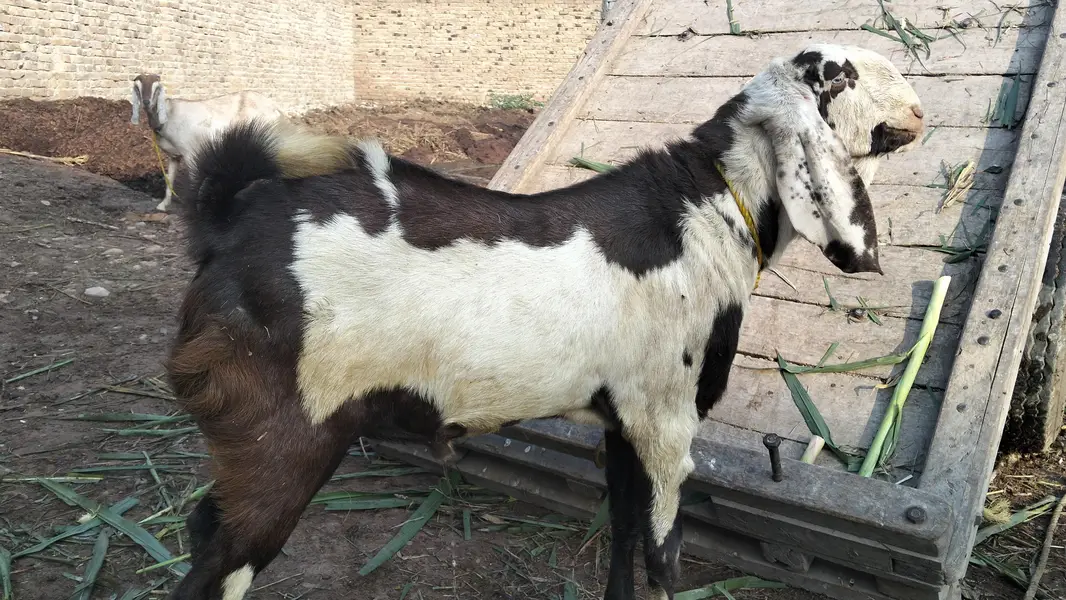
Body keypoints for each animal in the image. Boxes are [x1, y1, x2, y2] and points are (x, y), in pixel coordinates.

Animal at [129, 74, 286, 212]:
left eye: (157, 88)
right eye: (138, 88)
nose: (147, 102)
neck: (169, 115)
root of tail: (276, 108)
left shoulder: (191, 152)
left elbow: (194, 180)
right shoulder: (174, 156)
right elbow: (170, 179)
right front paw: (163, 205)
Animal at [162, 43, 924, 600]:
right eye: (844, 75)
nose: (920, 109)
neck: (708, 212)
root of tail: (227, 219)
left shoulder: (625, 419)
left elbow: (622, 532)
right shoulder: (669, 422)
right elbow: (664, 555)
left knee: (203, 528)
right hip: (280, 439)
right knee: (218, 569)